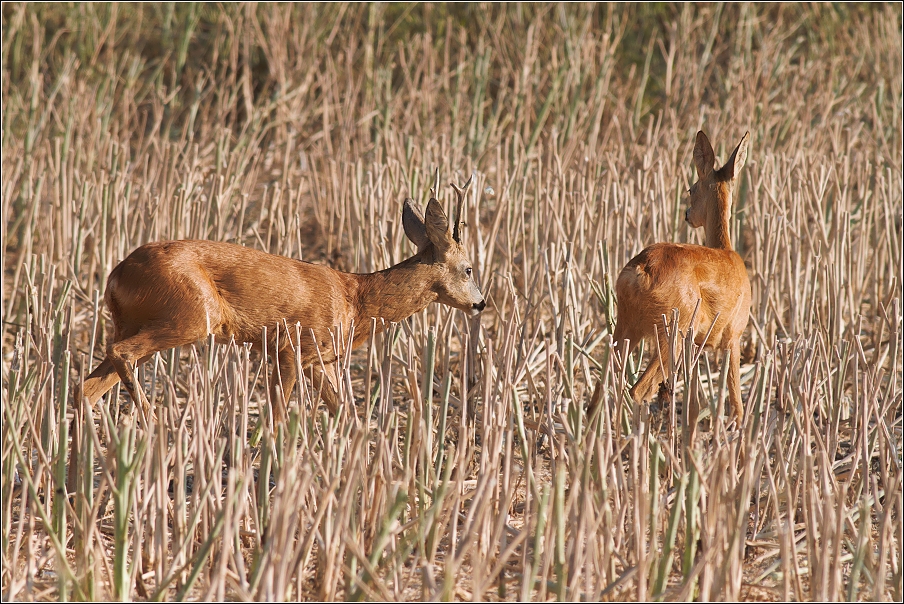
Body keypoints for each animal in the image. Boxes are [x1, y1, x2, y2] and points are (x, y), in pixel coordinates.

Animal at [79, 172, 488, 422]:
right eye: (469, 268)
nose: (480, 302)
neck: (354, 299)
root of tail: (116, 275)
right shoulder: (292, 346)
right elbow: (277, 417)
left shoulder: (321, 360)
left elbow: (346, 415)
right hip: (191, 313)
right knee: (120, 355)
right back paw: (151, 419)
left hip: (135, 320)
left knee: (87, 385)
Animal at [612, 131, 752, 424]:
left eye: (691, 189)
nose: (687, 215)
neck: (727, 250)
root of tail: (641, 269)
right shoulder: (733, 335)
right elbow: (736, 401)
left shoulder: (698, 345)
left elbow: (694, 404)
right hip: (672, 330)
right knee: (638, 390)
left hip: (629, 326)